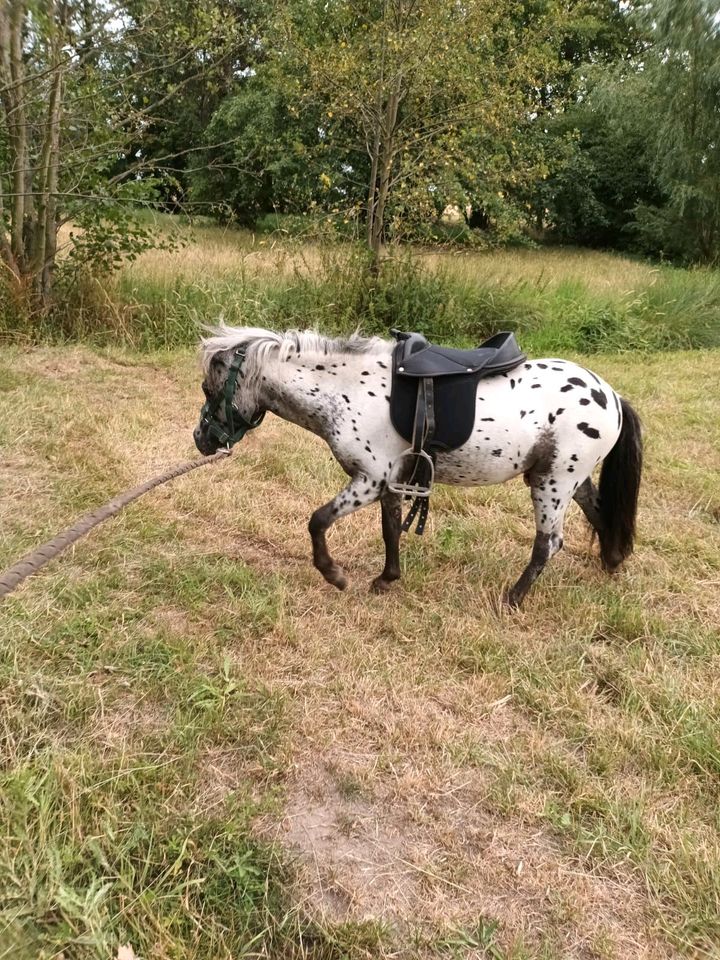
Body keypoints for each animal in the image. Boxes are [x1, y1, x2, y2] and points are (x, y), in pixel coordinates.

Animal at [194, 326, 644, 604]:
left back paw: (513, 599)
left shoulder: (370, 480)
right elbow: (390, 529)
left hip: (553, 483)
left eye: (207, 388)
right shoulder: (392, 481)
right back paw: (610, 564)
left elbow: (317, 521)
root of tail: (611, 395)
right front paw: (386, 579)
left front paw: (335, 575)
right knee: (600, 516)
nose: (201, 440)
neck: (344, 390)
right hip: (568, 479)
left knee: (548, 543)